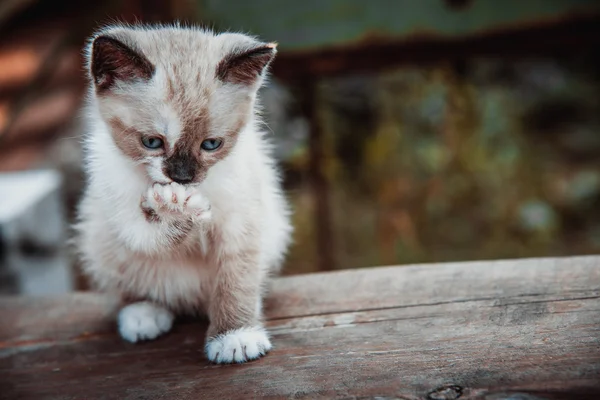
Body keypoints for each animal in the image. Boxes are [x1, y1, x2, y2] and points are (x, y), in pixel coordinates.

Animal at [74, 23, 294, 364]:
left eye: (211, 144)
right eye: (152, 142)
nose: (182, 177)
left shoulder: (241, 223)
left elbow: (236, 282)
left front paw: (235, 335)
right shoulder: (123, 216)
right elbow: (152, 235)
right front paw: (175, 210)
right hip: (98, 236)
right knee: (128, 289)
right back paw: (144, 314)